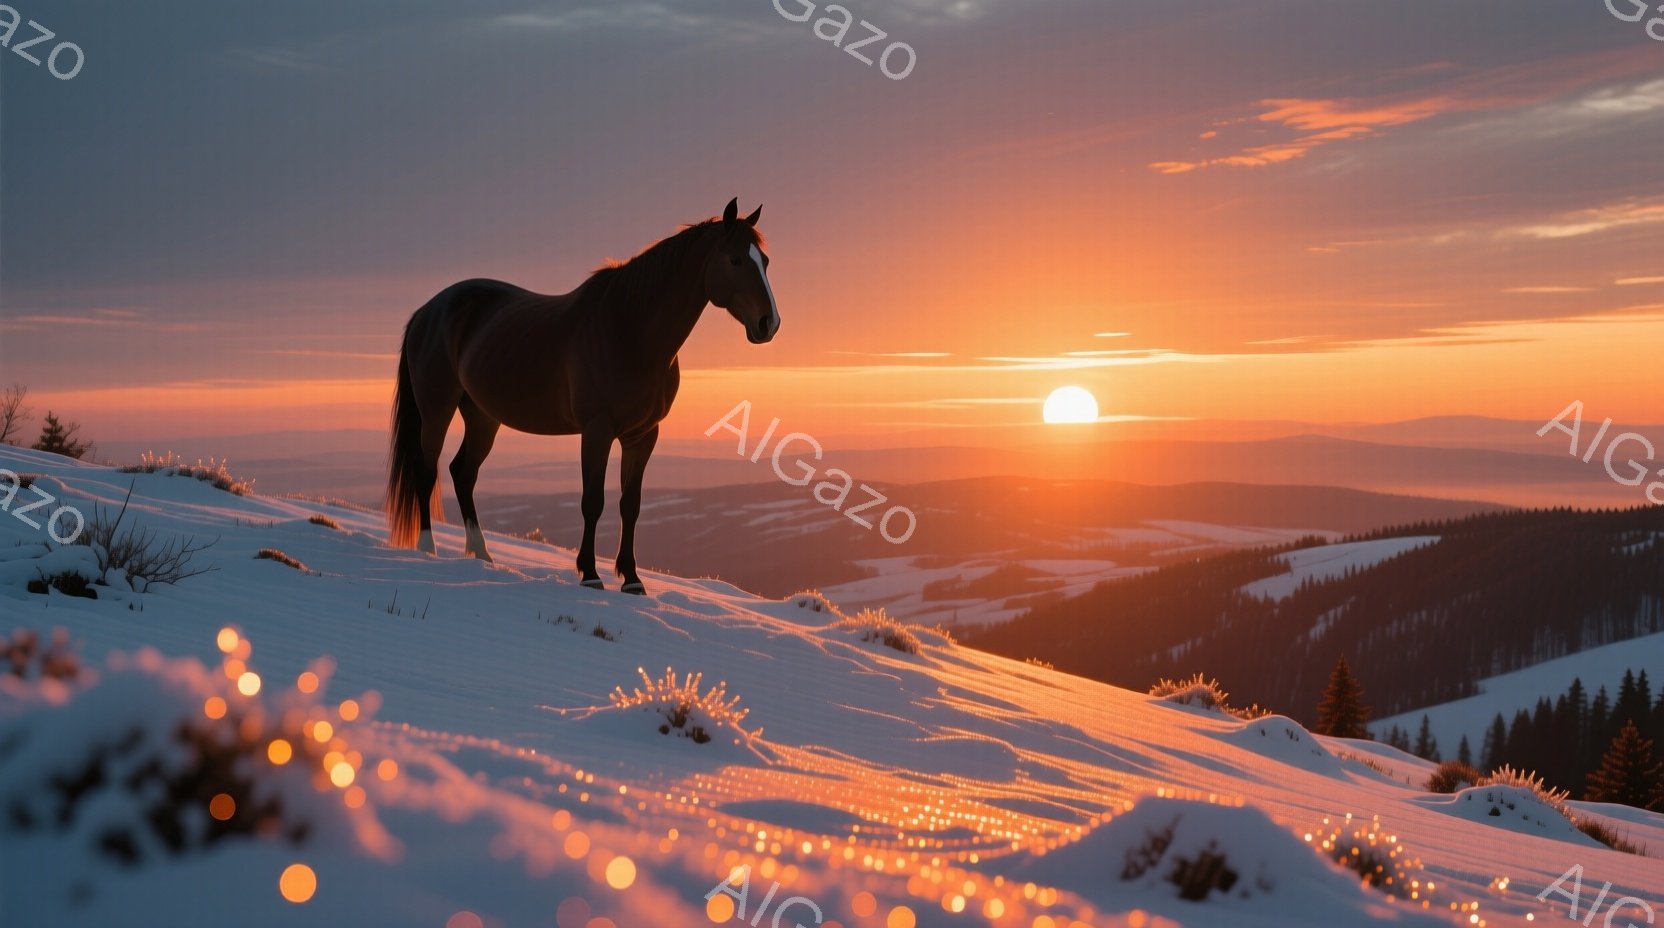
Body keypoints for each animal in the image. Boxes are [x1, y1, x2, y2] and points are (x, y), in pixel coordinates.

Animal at [385, 198, 779, 594]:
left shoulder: (643, 435)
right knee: (427, 471)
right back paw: (427, 549)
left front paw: (632, 580)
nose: (769, 323)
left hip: (482, 416)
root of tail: (427, 311)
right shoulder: (597, 431)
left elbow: (630, 505)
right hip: (437, 410)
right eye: (735, 259)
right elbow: (593, 502)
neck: (630, 331)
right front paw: (590, 574)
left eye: (764, 260)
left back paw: (481, 554)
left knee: (463, 473)